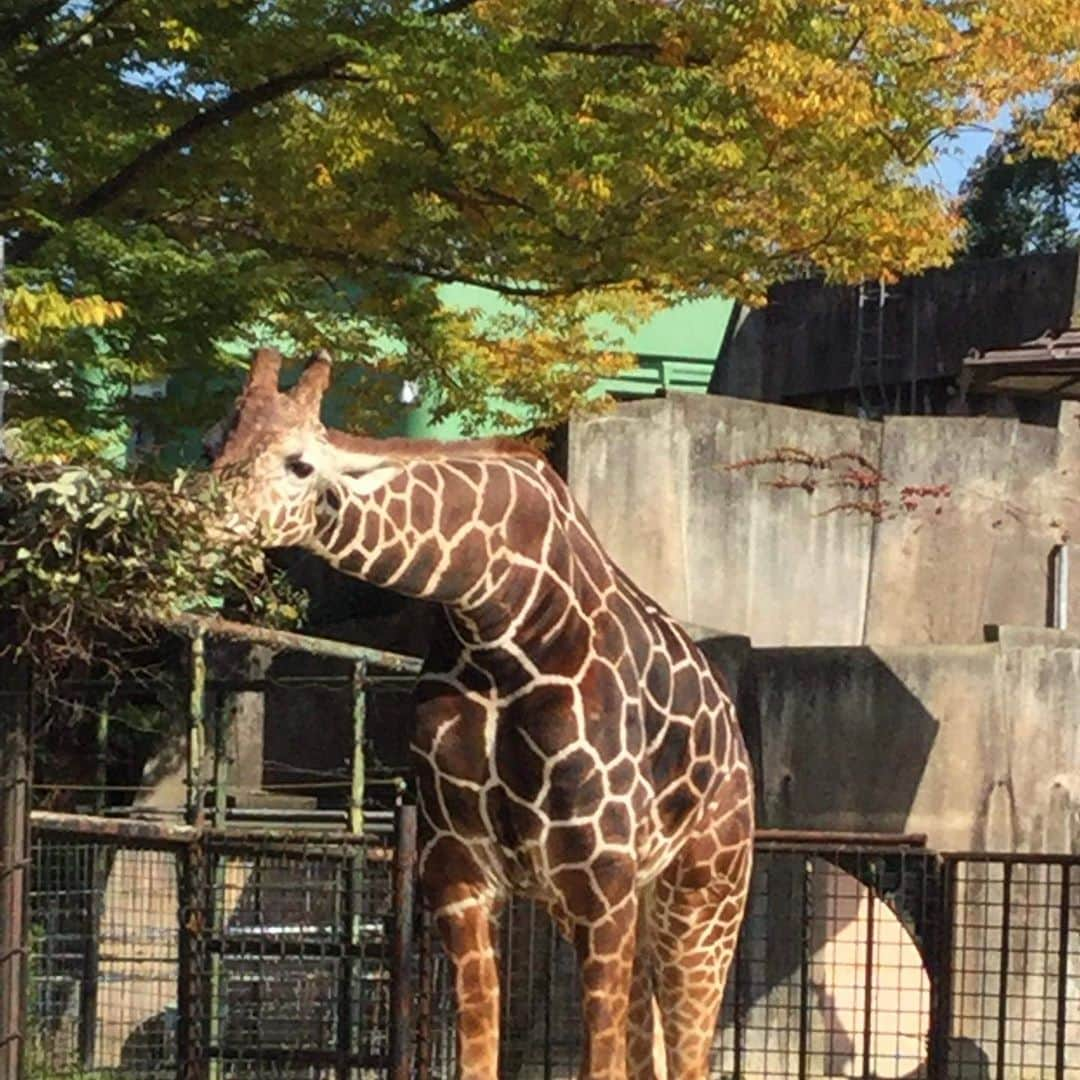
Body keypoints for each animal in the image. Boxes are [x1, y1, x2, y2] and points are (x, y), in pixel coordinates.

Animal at [208, 347, 751, 1080]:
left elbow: (599, 1064)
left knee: (692, 1050)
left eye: (300, 463)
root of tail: (737, 746)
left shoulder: (600, 879)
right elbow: (478, 1058)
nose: (201, 515)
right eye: (213, 443)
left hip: (703, 893)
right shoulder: (461, 874)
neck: (498, 617)